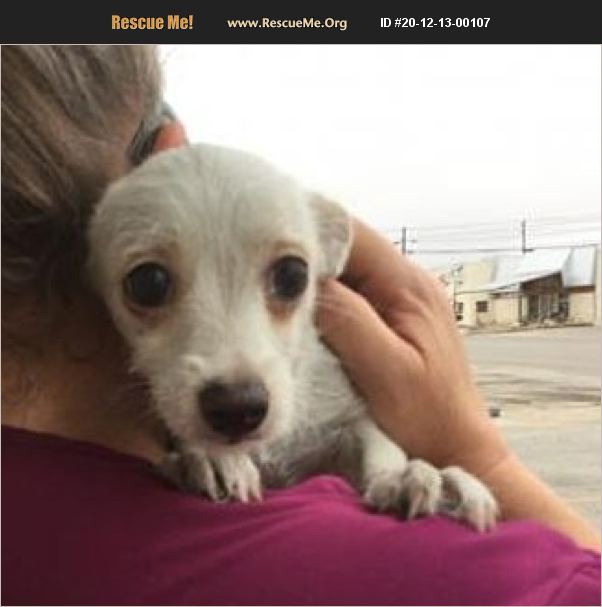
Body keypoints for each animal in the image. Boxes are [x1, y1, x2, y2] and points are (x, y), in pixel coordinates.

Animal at [85, 145, 496, 528]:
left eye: (292, 275)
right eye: (147, 283)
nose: (237, 408)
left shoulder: (343, 421)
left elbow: (378, 444)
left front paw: (410, 477)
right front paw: (211, 458)